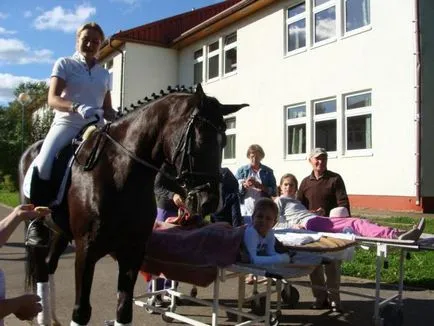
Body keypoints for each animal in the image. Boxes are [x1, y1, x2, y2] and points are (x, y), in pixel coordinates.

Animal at [19, 85, 248, 324]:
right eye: (200, 140)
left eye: (225, 142)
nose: (209, 202)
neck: (120, 173)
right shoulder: (85, 250)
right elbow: (81, 311)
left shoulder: (133, 252)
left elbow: (124, 309)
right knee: (41, 269)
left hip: (60, 232)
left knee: (49, 265)